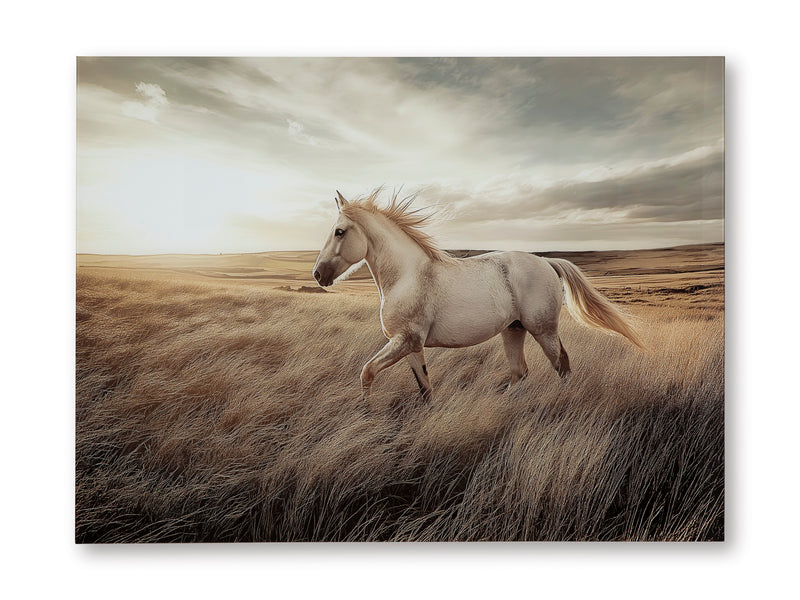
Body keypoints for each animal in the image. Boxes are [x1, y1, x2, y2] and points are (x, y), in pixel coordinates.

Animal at [312, 189, 643, 402]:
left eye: (340, 232)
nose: (317, 274)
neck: (407, 275)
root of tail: (546, 262)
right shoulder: (411, 346)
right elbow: (425, 389)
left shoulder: (404, 341)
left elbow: (367, 372)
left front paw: (365, 412)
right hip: (514, 330)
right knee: (520, 372)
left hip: (543, 329)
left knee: (562, 366)